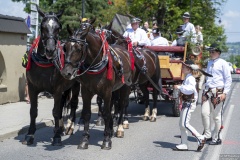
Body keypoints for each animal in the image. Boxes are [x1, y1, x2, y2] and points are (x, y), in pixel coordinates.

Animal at [21, 5, 77, 146]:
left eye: (58, 27)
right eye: (42, 26)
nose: (50, 50)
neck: (44, 63)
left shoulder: (57, 89)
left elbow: (56, 112)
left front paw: (56, 137)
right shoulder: (32, 87)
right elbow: (33, 111)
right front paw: (30, 134)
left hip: (76, 85)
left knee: (73, 104)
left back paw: (69, 127)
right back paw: (61, 128)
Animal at [60, 21, 133, 150]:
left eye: (79, 48)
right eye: (65, 47)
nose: (66, 72)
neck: (96, 63)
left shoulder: (107, 92)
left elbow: (107, 113)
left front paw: (107, 140)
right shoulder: (86, 92)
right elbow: (87, 113)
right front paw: (84, 139)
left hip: (125, 87)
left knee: (122, 104)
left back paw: (119, 127)